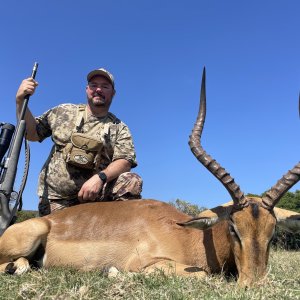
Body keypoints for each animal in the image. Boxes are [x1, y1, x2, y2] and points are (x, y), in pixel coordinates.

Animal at [0, 68, 298, 286]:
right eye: (234, 228)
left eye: (272, 232)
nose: (254, 285)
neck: (187, 235)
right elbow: (199, 274)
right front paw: (113, 272)